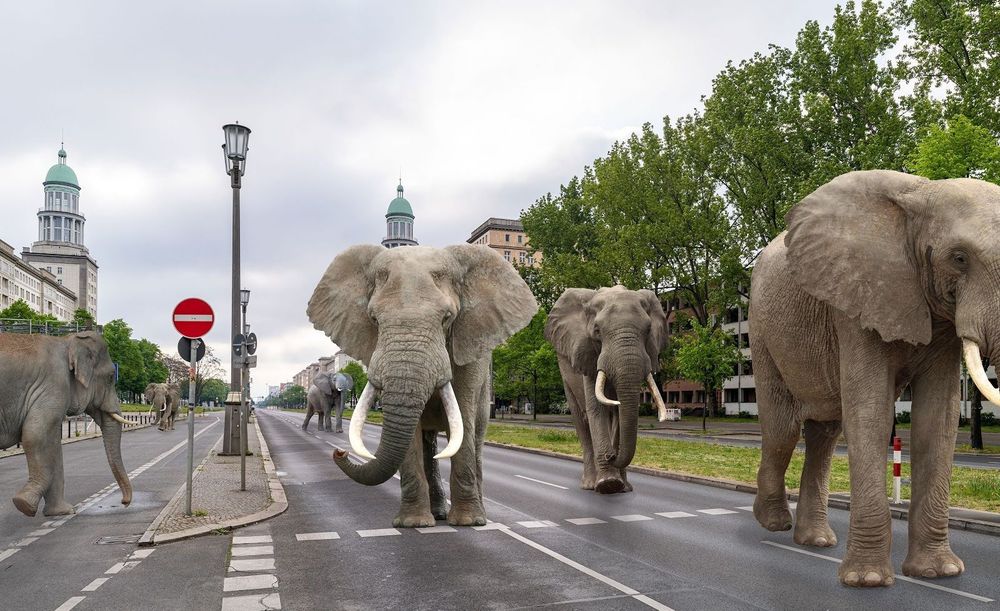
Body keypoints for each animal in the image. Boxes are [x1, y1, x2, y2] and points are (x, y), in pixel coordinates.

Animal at [0, 332, 134, 520]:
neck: (67, 340)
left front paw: (62, 512)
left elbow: (54, 444)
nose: (124, 502)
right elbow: (35, 436)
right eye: (110, 377)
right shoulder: (52, 386)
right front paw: (24, 504)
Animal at [308, 244, 540, 524]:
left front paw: (468, 522)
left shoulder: (470, 346)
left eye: (447, 318)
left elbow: (463, 418)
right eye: (374, 320)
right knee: (428, 442)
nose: (339, 452)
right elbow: (412, 435)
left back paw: (476, 514)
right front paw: (413, 523)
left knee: (476, 436)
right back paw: (437, 513)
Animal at [544, 286, 668, 492]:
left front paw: (617, 484)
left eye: (649, 329)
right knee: (581, 422)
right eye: (597, 331)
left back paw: (624, 486)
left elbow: (620, 414)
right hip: (565, 372)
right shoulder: (587, 355)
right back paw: (589, 484)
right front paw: (608, 484)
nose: (611, 455)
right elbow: (596, 410)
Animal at [752, 171, 1000, 588]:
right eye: (959, 259)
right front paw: (867, 581)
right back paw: (772, 524)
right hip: (763, 333)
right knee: (784, 428)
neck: (924, 193)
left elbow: (939, 419)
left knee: (824, 433)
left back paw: (815, 540)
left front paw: (939, 573)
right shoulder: (855, 297)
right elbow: (870, 413)